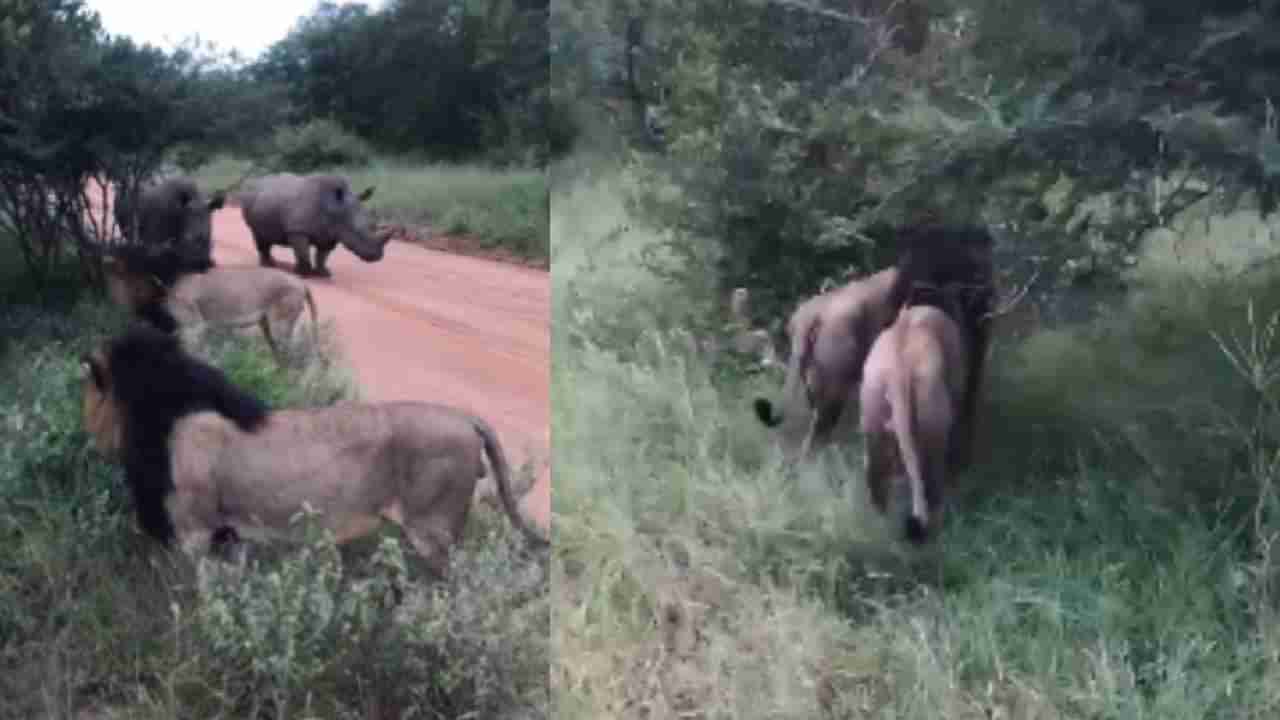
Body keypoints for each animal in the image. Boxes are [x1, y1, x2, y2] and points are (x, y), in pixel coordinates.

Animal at [78, 322, 550, 573]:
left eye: (89, 391)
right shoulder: (227, 537)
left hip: (433, 531)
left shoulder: (194, 533)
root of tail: (464, 417)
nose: (86, 430)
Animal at [103, 244, 320, 358]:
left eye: (135, 253)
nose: (110, 258)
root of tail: (301, 282)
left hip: (279, 325)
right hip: (267, 325)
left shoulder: (194, 326)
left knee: (291, 357)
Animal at [238, 170, 389, 278]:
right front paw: (304, 274)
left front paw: (324, 273)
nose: (377, 257)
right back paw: (269, 265)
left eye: (373, 225)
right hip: (249, 199)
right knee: (258, 234)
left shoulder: (331, 233)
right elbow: (303, 252)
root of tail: (254, 182)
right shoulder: (298, 230)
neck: (335, 208)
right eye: (356, 231)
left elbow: (323, 256)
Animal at [860, 299, 967, 540]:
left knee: (875, 472)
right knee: (932, 477)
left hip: (872, 412)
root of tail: (897, 369)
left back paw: (879, 523)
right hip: (934, 418)